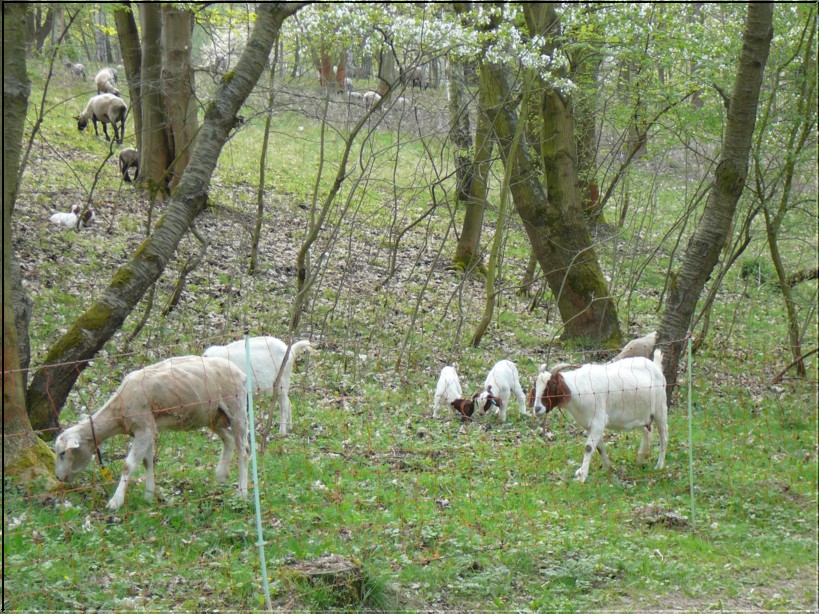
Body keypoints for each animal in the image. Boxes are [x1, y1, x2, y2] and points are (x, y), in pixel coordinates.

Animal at [54, 355, 249, 511]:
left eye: (63, 453)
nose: (57, 477)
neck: (118, 412)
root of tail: (240, 371)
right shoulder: (146, 430)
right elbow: (147, 462)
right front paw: (149, 496)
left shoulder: (144, 429)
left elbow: (128, 465)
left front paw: (115, 502)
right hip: (212, 416)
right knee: (229, 439)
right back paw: (221, 475)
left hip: (236, 408)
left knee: (244, 451)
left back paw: (242, 493)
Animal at [533, 349, 668, 482]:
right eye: (536, 386)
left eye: (552, 385)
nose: (537, 408)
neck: (578, 390)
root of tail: (655, 365)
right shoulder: (589, 425)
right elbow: (599, 447)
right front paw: (608, 467)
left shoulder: (598, 421)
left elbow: (588, 447)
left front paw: (582, 476)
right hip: (640, 415)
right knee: (647, 432)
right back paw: (640, 458)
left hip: (660, 409)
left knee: (663, 436)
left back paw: (659, 465)